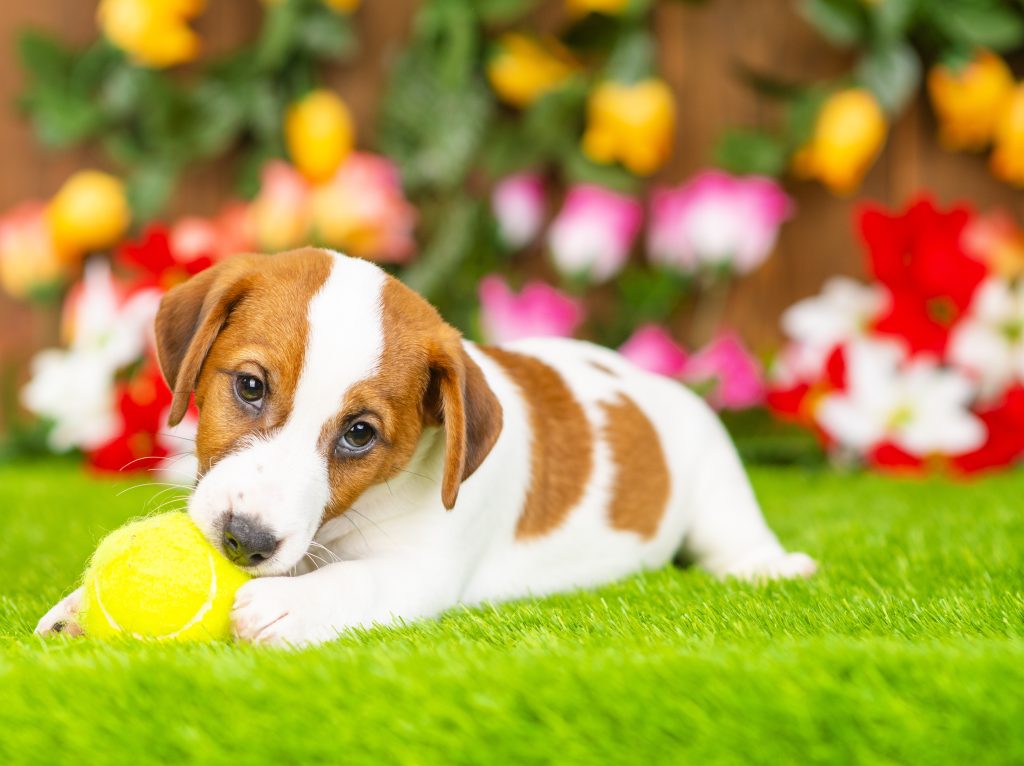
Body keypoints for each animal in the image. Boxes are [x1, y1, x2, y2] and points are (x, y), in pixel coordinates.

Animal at [37, 248, 815, 643]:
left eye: (360, 433)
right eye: (250, 386)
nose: (245, 543)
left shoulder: (420, 571)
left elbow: (359, 579)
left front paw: (286, 606)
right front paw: (78, 608)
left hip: (716, 479)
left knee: (735, 537)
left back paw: (771, 565)